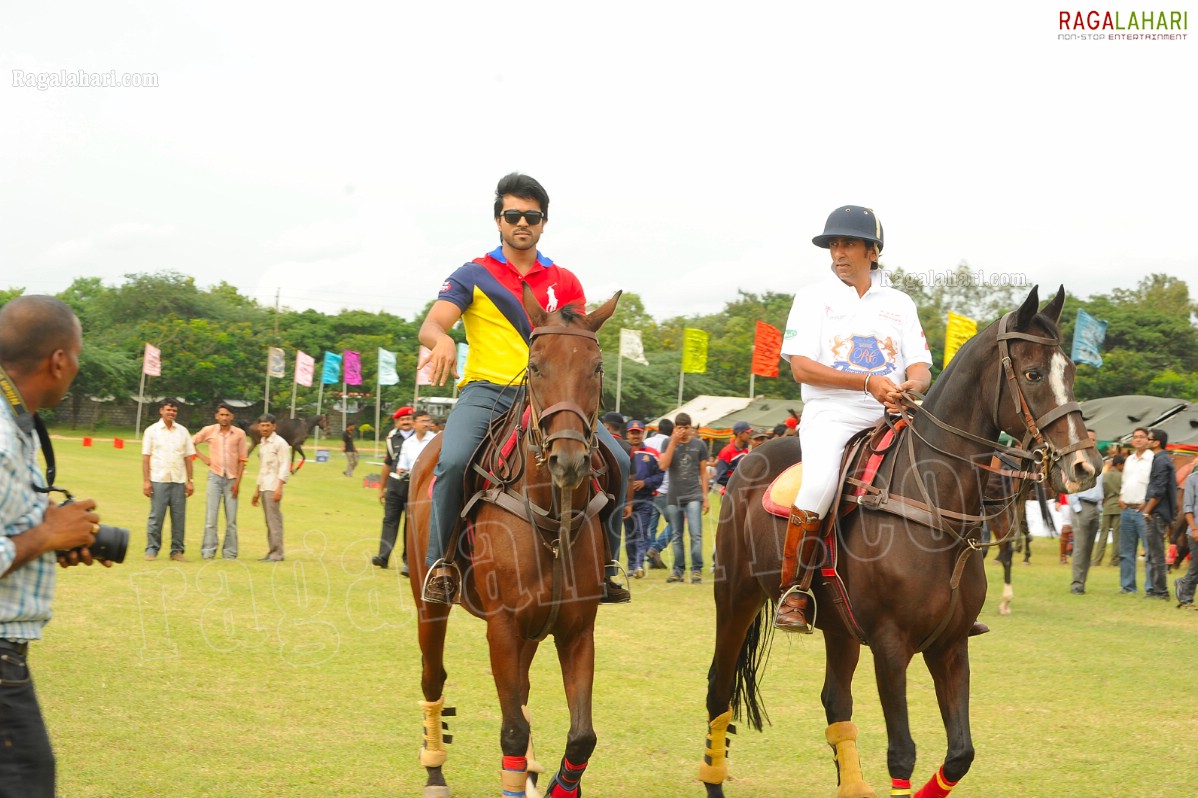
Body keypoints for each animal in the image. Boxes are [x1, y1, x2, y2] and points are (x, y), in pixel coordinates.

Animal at [407, 286, 622, 795]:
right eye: (536, 365)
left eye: (597, 367)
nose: (569, 461)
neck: (551, 517)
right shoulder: (502, 626)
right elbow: (512, 730)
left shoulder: (577, 630)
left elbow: (581, 736)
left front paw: (558, 780)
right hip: (430, 606)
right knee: (433, 676)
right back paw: (435, 769)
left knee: (521, 689)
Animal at [699, 286, 1102, 795]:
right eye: (1032, 374)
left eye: (1070, 371)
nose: (1085, 465)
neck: (934, 501)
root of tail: (747, 460)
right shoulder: (891, 647)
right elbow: (902, 753)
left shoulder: (950, 644)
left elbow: (960, 754)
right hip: (735, 596)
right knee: (719, 687)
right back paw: (714, 777)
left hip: (838, 626)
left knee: (835, 701)